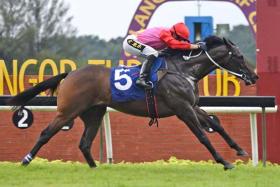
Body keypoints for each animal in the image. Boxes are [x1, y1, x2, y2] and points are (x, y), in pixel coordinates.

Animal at [7, 35, 258, 170]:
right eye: (239, 56)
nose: (255, 76)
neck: (184, 70)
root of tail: (70, 74)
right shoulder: (182, 109)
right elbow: (203, 136)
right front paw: (224, 162)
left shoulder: (192, 106)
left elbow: (216, 125)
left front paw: (239, 150)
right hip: (67, 111)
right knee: (45, 134)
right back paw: (25, 161)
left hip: (94, 113)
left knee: (85, 143)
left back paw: (95, 170)